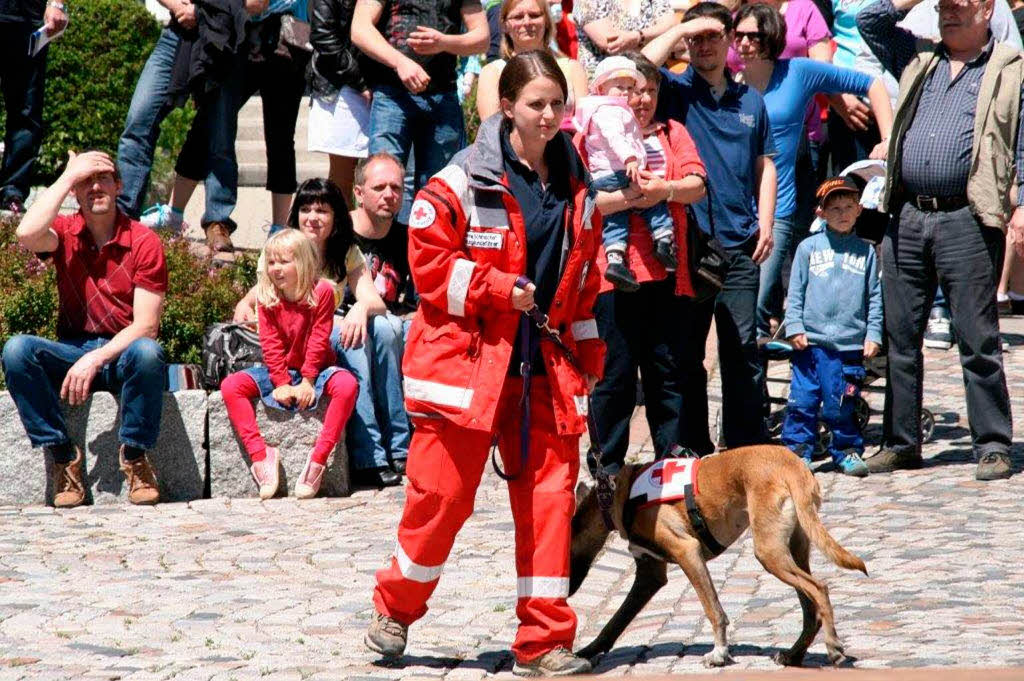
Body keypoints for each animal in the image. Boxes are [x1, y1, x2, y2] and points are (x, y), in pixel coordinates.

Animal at [569, 444, 864, 667]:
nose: (566, 593)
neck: (615, 495)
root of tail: (791, 463)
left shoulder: (687, 551)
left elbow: (714, 610)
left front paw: (719, 653)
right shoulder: (649, 576)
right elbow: (615, 622)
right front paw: (588, 650)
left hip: (770, 554)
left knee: (819, 589)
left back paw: (833, 646)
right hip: (791, 552)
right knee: (810, 608)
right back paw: (794, 654)